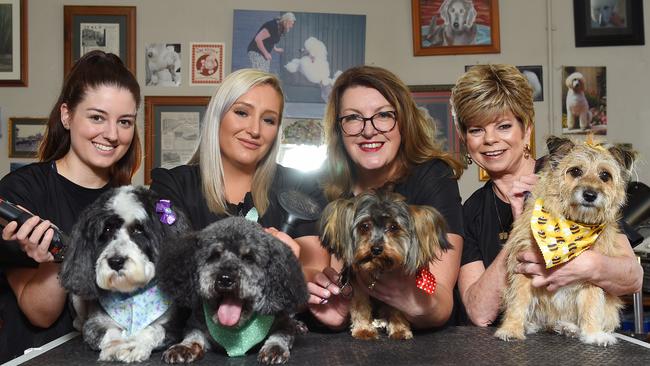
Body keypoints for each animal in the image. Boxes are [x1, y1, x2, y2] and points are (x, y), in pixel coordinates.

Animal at [58, 187, 187, 362]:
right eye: (106, 229)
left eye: (139, 229)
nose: (116, 261)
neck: (130, 294)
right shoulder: (94, 325)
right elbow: (108, 332)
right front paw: (117, 345)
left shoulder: (172, 326)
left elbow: (153, 330)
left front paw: (134, 345)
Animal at [158, 217, 308, 364]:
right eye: (214, 255)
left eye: (249, 258)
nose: (225, 279)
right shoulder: (196, 324)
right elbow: (193, 334)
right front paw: (184, 347)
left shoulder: (282, 322)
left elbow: (281, 334)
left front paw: (275, 347)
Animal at [316, 187, 448, 342]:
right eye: (365, 226)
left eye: (393, 227)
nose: (376, 249)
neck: (378, 267)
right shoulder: (356, 286)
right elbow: (360, 306)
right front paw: (363, 329)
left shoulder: (399, 294)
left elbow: (398, 308)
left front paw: (400, 329)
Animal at [494, 137, 636, 346]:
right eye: (575, 171)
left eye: (605, 175)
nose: (590, 195)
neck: (570, 226)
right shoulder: (522, 266)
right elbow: (518, 301)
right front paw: (511, 328)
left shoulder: (593, 273)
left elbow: (591, 303)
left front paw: (593, 333)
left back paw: (569, 328)